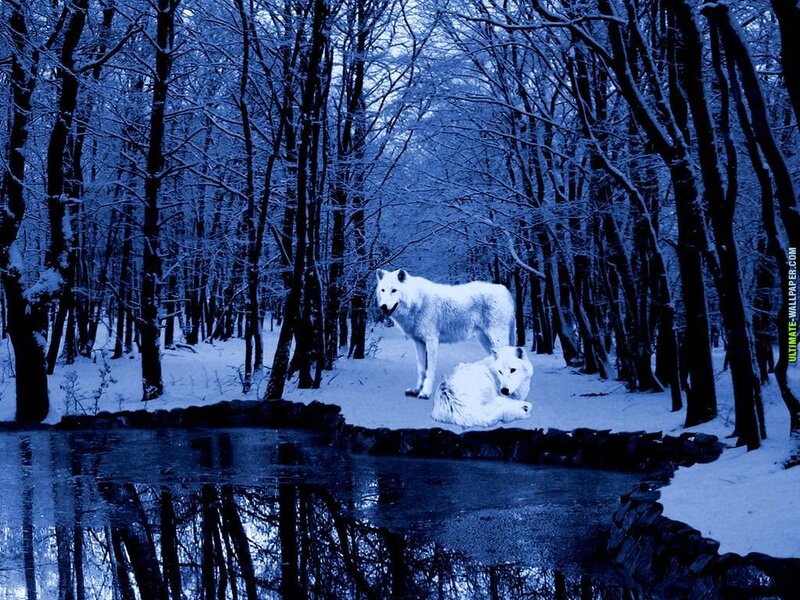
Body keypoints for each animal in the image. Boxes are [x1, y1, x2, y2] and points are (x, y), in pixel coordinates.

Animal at [376, 268, 515, 398]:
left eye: (394, 290)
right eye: (383, 290)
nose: (383, 307)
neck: (418, 302)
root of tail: (505, 291)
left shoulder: (431, 341)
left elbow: (430, 370)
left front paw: (425, 393)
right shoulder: (419, 342)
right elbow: (421, 370)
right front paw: (416, 390)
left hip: (497, 339)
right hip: (485, 341)